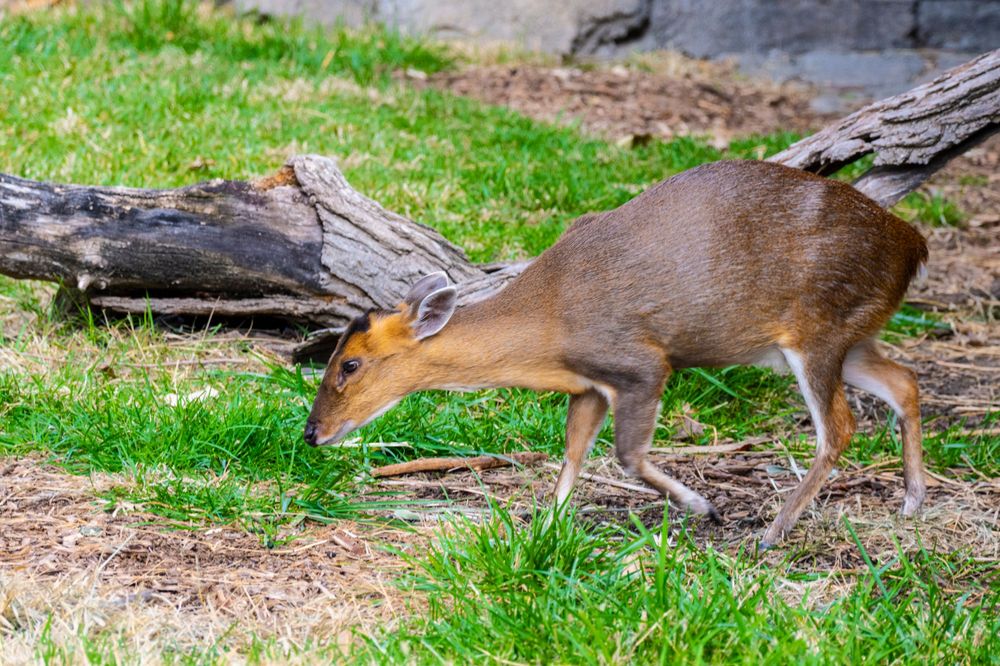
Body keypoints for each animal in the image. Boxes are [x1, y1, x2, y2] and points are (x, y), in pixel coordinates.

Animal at [303, 160, 929, 546]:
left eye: (350, 364)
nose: (312, 433)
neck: (550, 325)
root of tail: (914, 245)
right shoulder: (590, 385)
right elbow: (573, 451)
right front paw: (546, 528)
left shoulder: (641, 364)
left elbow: (627, 454)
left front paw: (704, 507)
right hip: (850, 335)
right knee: (904, 380)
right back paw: (912, 500)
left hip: (817, 328)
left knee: (840, 427)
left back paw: (773, 532)